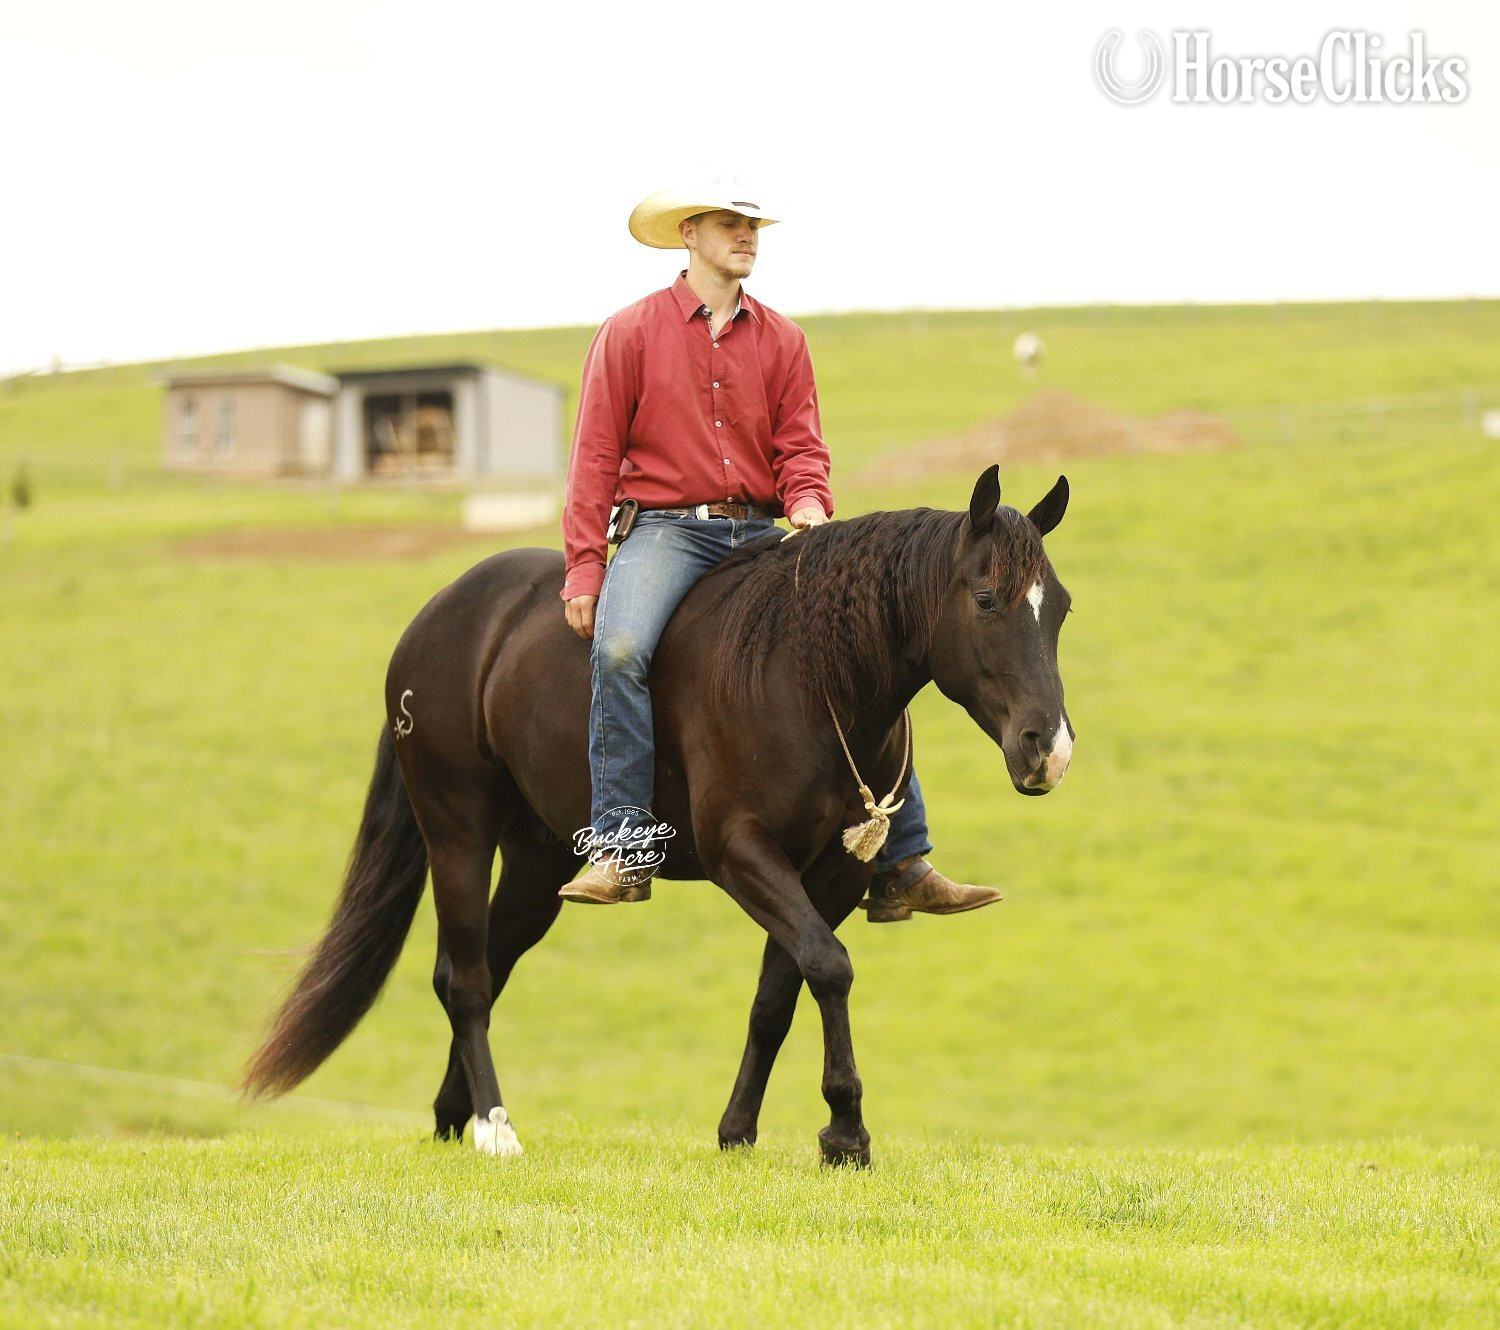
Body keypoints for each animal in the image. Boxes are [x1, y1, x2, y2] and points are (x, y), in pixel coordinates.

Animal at [242, 466, 1074, 1166]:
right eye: (987, 600)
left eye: (1060, 608)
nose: (1049, 748)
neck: (803, 670)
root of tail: (436, 620)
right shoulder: (742, 852)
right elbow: (830, 968)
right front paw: (845, 1131)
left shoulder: (833, 872)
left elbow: (781, 992)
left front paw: (739, 1132)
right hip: (457, 833)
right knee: (469, 980)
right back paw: (496, 1127)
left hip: (537, 862)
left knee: (481, 968)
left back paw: (457, 1117)